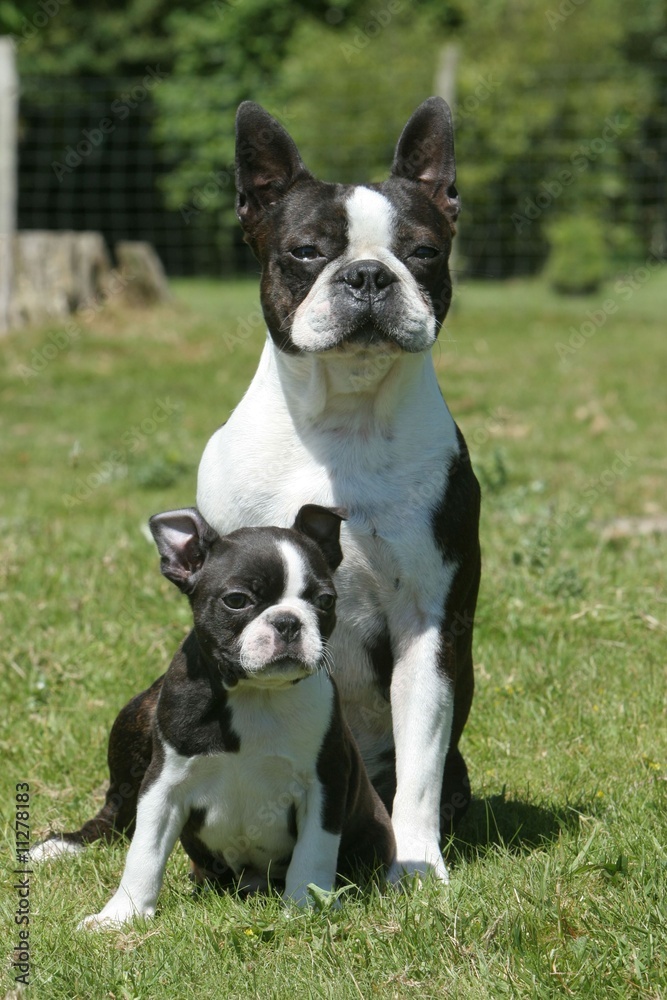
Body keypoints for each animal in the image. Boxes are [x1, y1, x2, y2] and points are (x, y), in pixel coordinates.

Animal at [35, 504, 396, 924]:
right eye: (237, 601)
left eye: (324, 601)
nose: (288, 620)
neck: (254, 694)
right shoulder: (164, 784)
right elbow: (144, 852)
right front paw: (122, 915)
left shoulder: (325, 781)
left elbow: (314, 853)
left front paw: (306, 907)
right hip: (134, 726)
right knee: (114, 815)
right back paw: (64, 846)